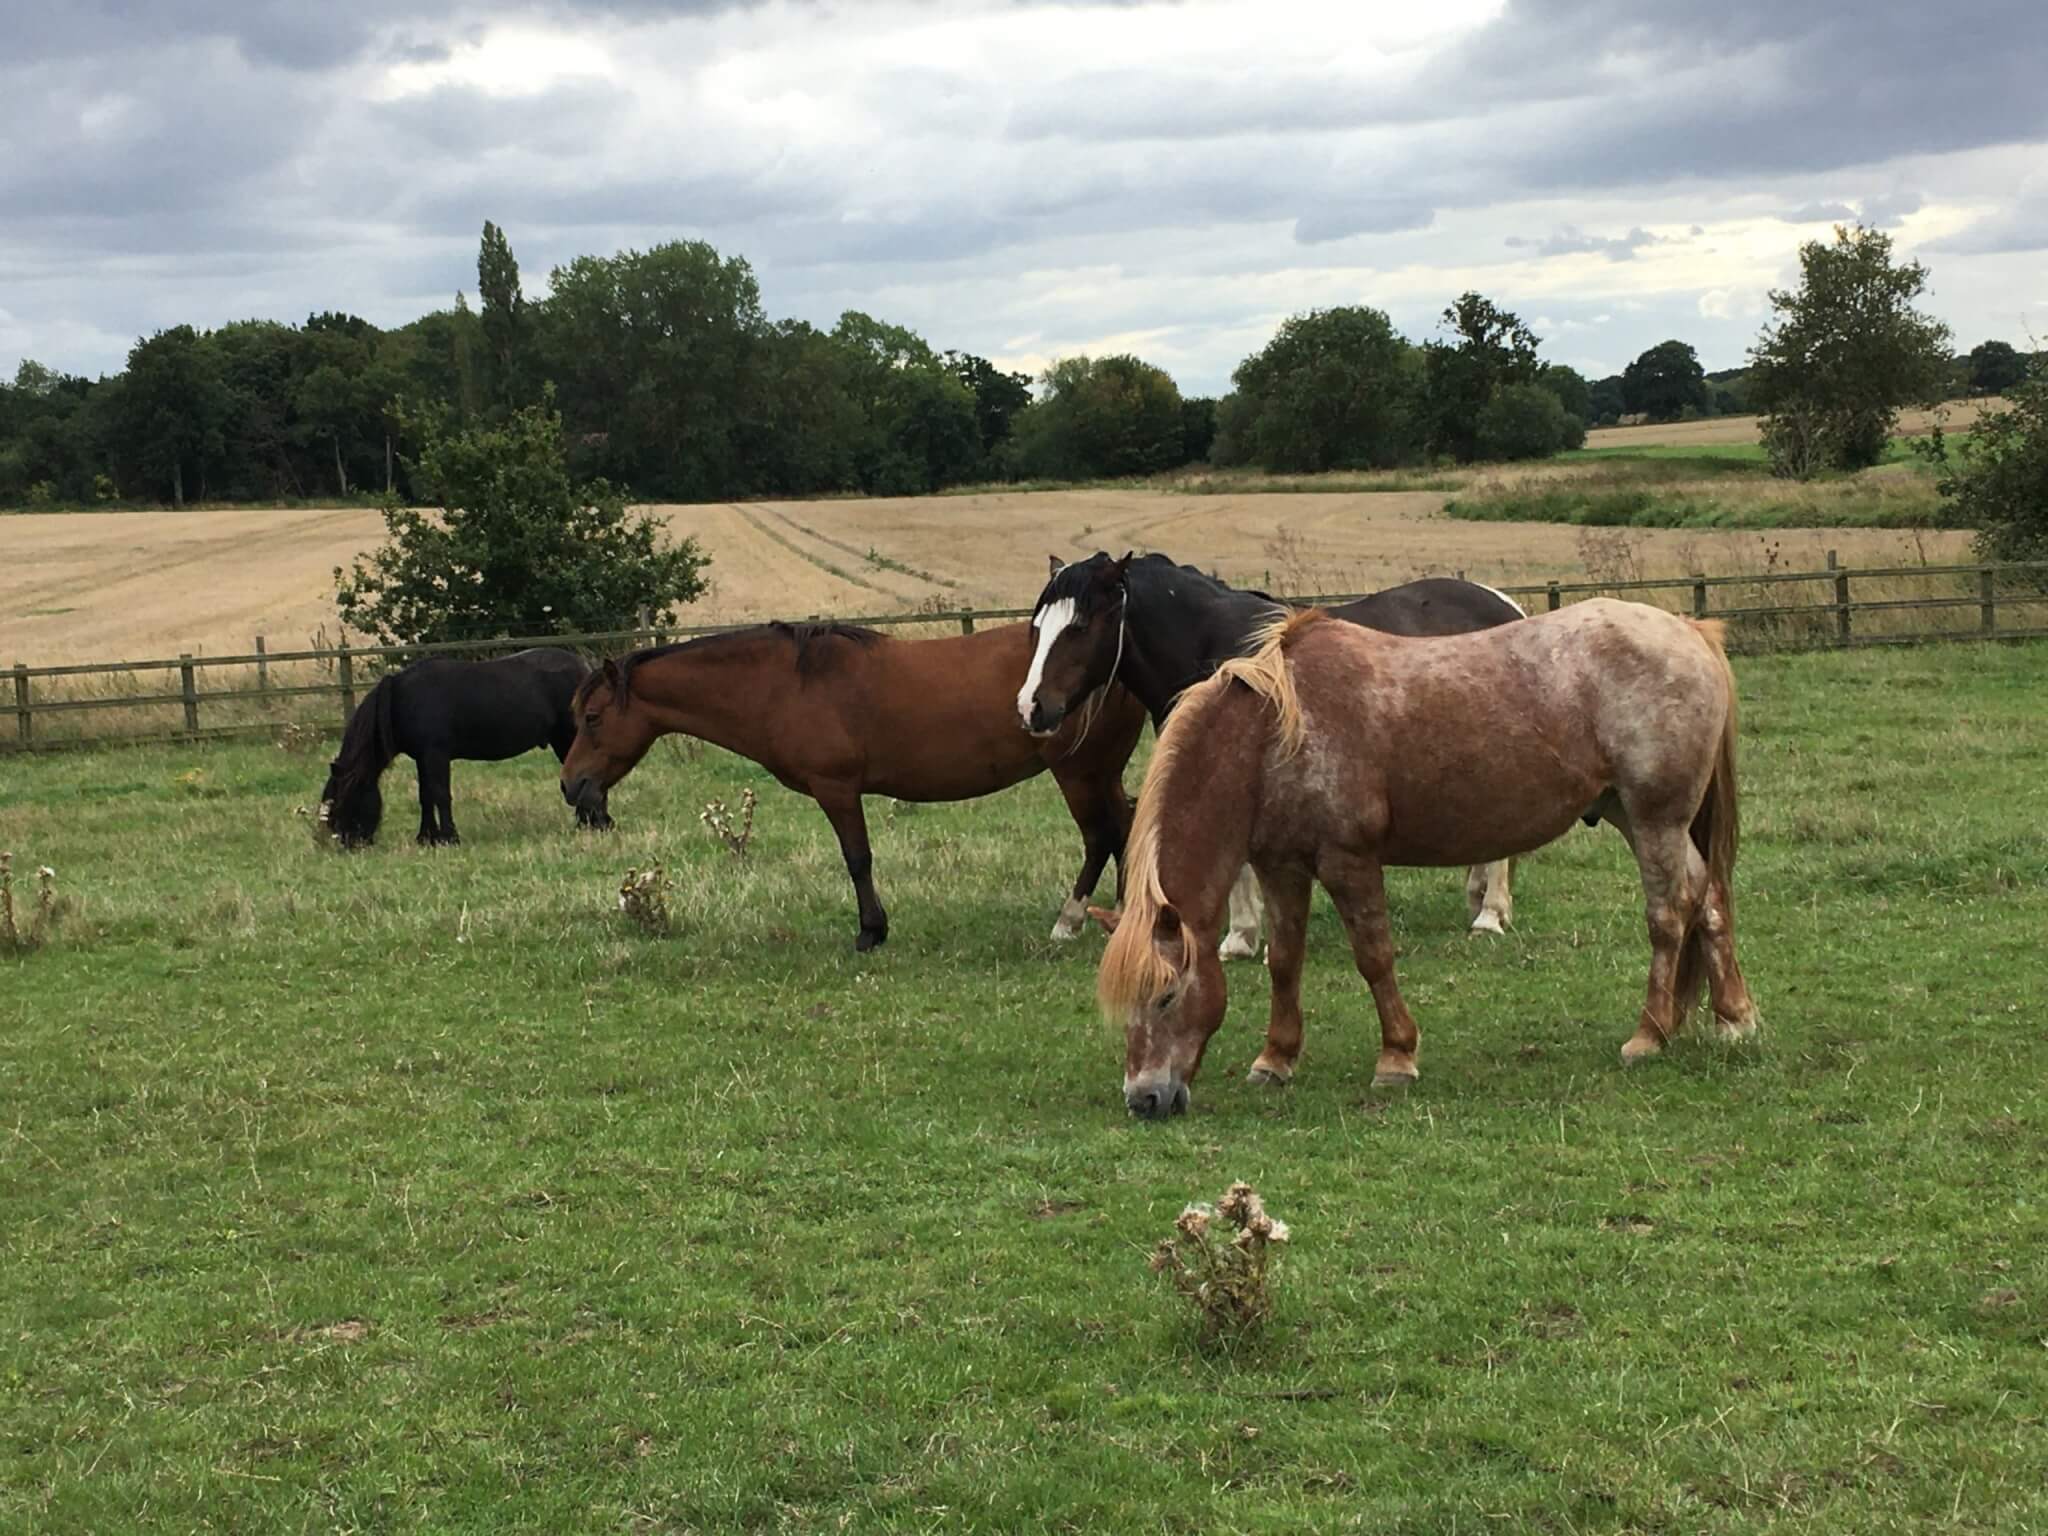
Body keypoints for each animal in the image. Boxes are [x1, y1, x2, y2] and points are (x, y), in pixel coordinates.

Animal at [315, 643, 606, 847]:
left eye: (340, 799)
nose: (346, 842)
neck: (402, 699)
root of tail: (584, 668)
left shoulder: (437, 755)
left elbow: (441, 795)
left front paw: (448, 837)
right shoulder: (423, 757)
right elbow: (425, 796)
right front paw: (426, 838)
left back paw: (597, 823)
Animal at [552, 622, 1146, 950]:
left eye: (594, 718)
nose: (571, 785)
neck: (786, 684)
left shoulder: (836, 788)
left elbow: (858, 859)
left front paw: (870, 931)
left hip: (1078, 771)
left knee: (1100, 836)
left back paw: (1070, 922)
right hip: (1102, 771)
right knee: (1126, 827)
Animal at [1015, 552, 1531, 950]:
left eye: (1080, 626)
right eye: (1037, 627)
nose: (1030, 707)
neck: (1216, 650)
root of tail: (1506, 606)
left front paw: (1243, 936)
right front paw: (1240, 937)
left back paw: (1490, 915)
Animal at [1097, 602, 1753, 1122]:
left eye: (1165, 996)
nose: (1144, 1099)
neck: (1274, 738)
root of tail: (1689, 629)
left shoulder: (1349, 862)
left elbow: (1374, 957)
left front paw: (1396, 1057)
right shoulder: (1281, 867)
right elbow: (1284, 962)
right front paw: (1275, 1059)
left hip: (1655, 818)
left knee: (1669, 915)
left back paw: (1650, 1035)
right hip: (1634, 815)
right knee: (1710, 898)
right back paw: (1733, 1020)